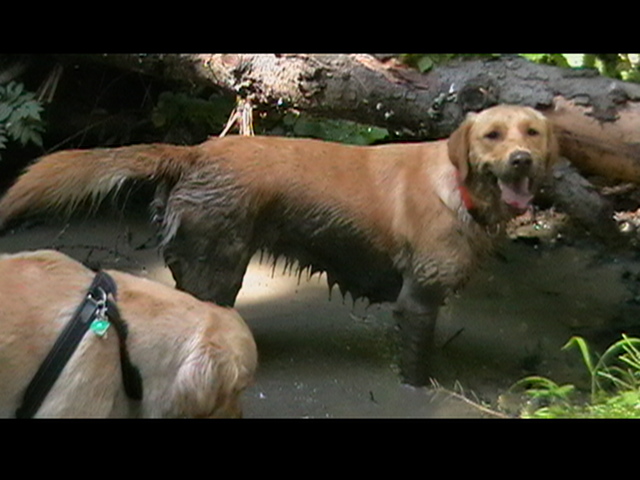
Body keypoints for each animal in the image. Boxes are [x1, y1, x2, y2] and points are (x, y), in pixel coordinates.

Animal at [0, 105, 556, 386]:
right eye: (491, 135)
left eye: (533, 132)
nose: (522, 160)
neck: (460, 189)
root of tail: (195, 152)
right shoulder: (417, 300)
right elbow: (417, 367)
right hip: (222, 267)